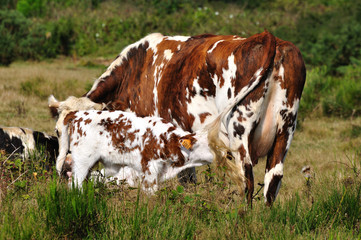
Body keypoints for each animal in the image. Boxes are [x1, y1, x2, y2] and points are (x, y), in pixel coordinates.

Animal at [54, 94, 245, 191]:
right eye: (57, 131)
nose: (229, 155)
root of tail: (78, 115)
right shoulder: (146, 171)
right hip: (82, 161)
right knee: (76, 183)